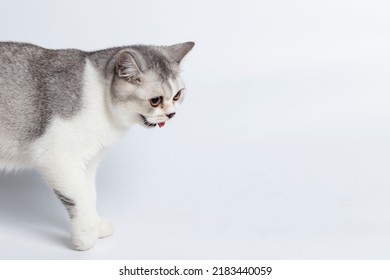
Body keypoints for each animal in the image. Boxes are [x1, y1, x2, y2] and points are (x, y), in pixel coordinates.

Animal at [0, 41, 194, 252]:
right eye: (155, 100)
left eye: (177, 96)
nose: (171, 114)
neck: (99, 99)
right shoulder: (57, 159)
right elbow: (79, 197)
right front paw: (86, 234)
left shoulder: (89, 160)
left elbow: (90, 193)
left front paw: (96, 224)